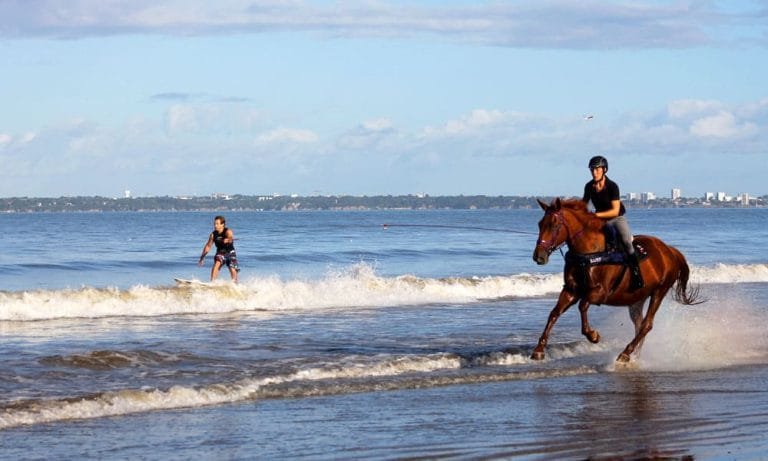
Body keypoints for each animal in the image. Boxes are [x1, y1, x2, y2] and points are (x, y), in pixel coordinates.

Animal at [531, 198, 702, 363]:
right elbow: (554, 313)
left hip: (659, 291)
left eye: (554, 225)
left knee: (647, 325)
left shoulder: (600, 292)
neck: (589, 251)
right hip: (637, 298)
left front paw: (593, 335)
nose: (538, 256)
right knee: (639, 325)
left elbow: (582, 306)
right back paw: (635, 355)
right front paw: (538, 350)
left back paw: (625, 354)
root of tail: (670, 251)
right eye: (539, 224)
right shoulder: (571, 290)